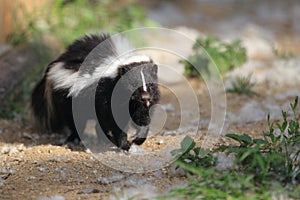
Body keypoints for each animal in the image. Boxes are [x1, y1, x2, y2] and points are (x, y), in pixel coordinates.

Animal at [31, 33, 159, 150]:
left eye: (151, 85)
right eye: (132, 85)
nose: (145, 97)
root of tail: (60, 61)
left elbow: (141, 117)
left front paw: (138, 138)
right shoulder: (108, 94)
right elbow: (115, 121)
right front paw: (124, 144)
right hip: (68, 101)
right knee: (76, 121)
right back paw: (76, 138)